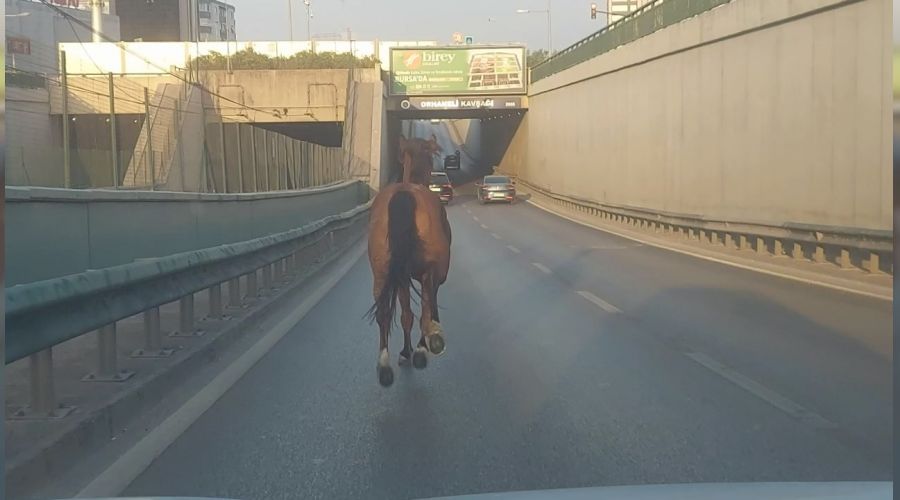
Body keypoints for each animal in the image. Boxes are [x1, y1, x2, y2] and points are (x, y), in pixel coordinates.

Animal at [366, 136, 450, 386]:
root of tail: (404, 195)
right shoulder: (432, 275)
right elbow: (423, 311)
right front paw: (417, 349)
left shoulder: (400, 276)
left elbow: (405, 316)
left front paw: (405, 351)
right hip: (429, 272)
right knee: (425, 310)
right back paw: (427, 347)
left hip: (382, 273)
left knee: (384, 313)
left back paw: (384, 366)